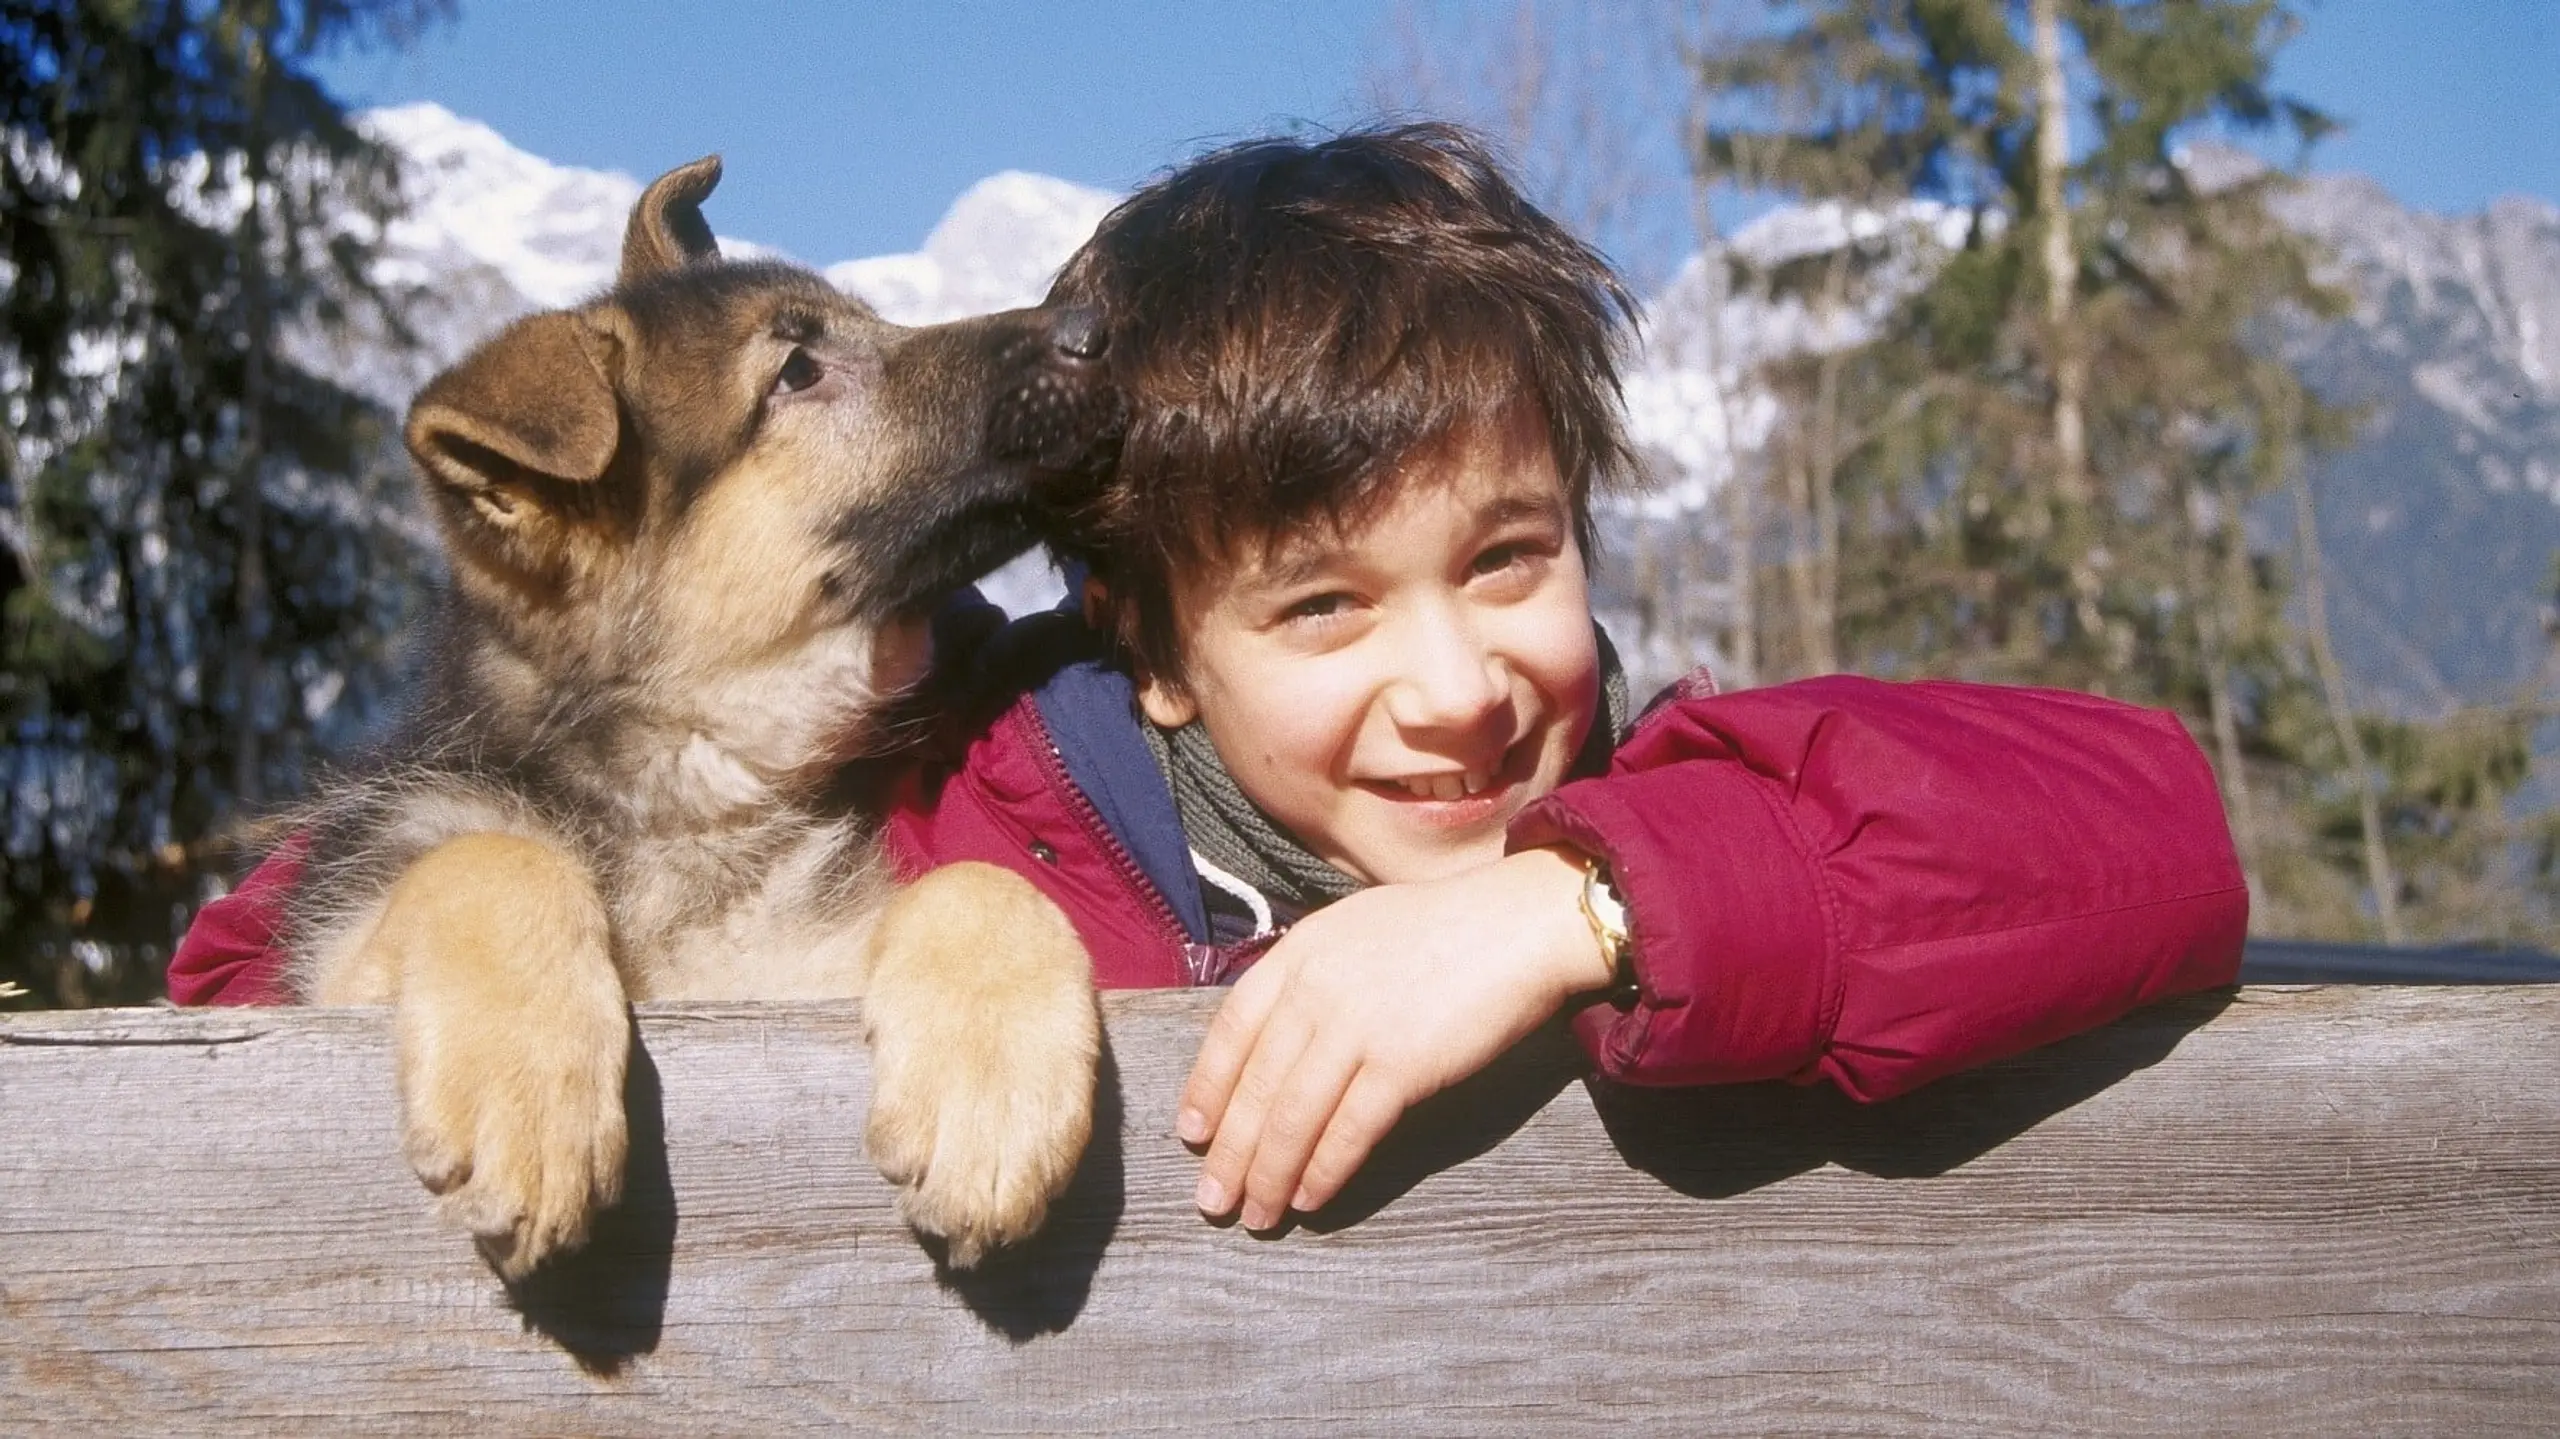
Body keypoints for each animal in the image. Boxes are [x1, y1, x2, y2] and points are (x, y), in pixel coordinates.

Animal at [285, 159, 1116, 1275]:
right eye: (797, 371)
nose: (1099, 326)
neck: (698, 784)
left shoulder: (795, 975)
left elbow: (979, 880)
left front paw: (990, 1090)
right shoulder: (329, 974)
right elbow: (489, 855)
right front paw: (527, 1090)